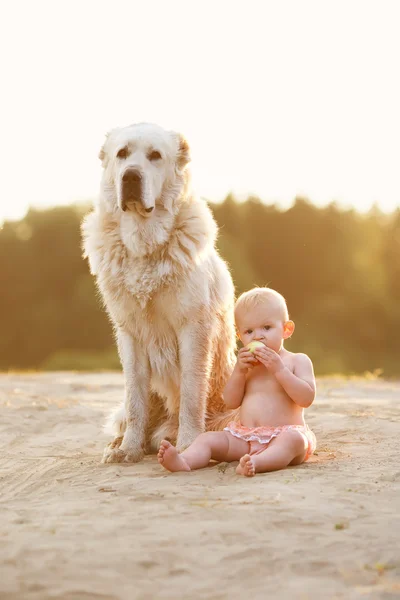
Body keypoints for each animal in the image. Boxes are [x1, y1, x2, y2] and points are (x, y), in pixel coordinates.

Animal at [81, 119, 238, 462]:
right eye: (122, 154)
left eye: (155, 156)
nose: (130, 176)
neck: (144, 243)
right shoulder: (130, 334)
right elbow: (135, 400)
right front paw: (129, 449)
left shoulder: (194, 328)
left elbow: (192, 394)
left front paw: (189, 444)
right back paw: (123, 443)